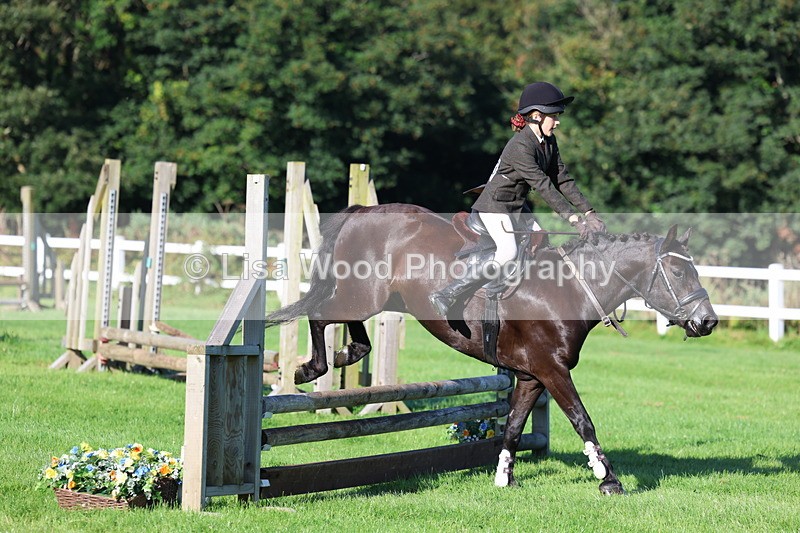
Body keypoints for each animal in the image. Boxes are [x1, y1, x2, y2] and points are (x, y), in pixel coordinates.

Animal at [266, 203, 718, 494]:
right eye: (679, 271)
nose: (708, 321)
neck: (569, 289)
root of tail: (363, 210)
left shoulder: (531, 376)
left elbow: (514, 426)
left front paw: (504, 479)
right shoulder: (553, 371)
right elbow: (583, 421)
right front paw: (608, 480)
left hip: (373, 296)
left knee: (347, 326)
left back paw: (349, 352)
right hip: (363, 294)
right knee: (319, 316)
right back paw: (310, 368)